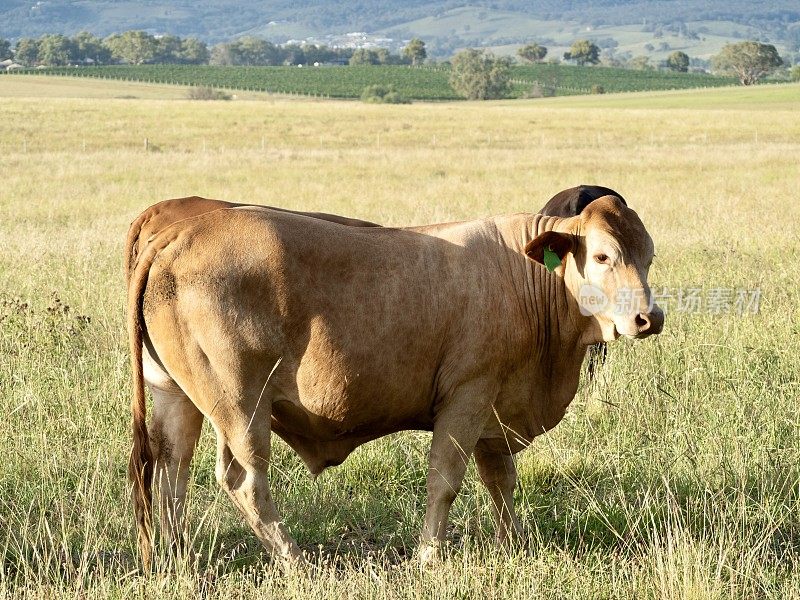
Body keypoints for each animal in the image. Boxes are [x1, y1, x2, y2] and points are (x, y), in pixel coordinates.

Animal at [125, 197, 664, 568]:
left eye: (649, 256)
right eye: (602, 256)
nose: (648, 317)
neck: (527, 277)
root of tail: (178, 233)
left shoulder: (494, 408)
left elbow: (501, 480)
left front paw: (513, 544)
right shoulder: (467, 396)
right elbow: (445, 480)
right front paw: (430, 555)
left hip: (175, 398)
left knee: (171, 472)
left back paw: (177, 556)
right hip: (241, 406)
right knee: (244, 481)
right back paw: (297, 561)